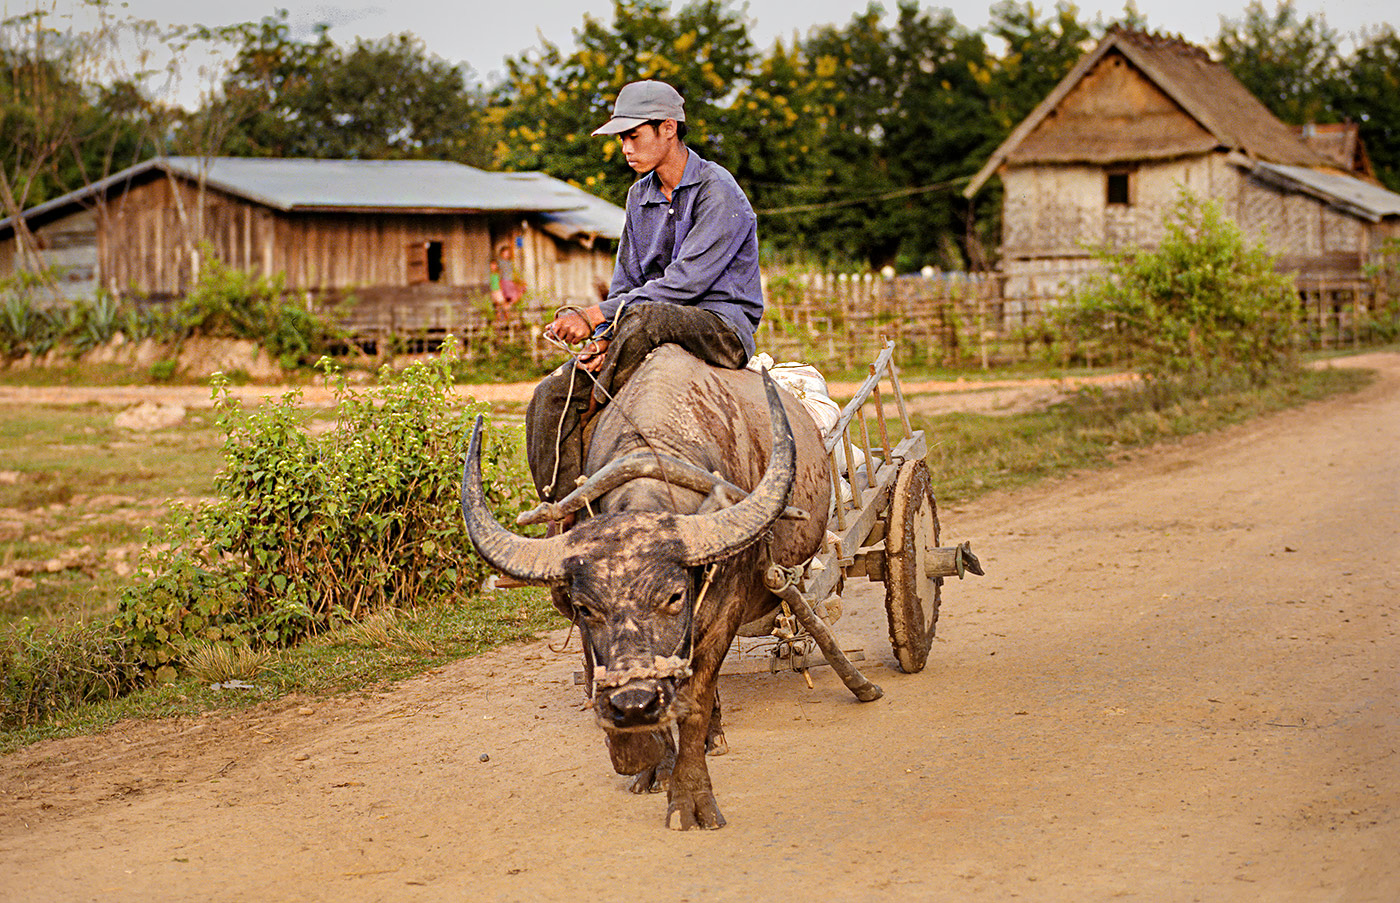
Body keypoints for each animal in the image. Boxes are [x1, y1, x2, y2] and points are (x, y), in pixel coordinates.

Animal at [459, 343, 828, 823]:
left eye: (674, 596)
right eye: (586, 607)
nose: (634, 704)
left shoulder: (724, 611)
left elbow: (696, 699)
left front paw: (691, 798)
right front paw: (654, 768)